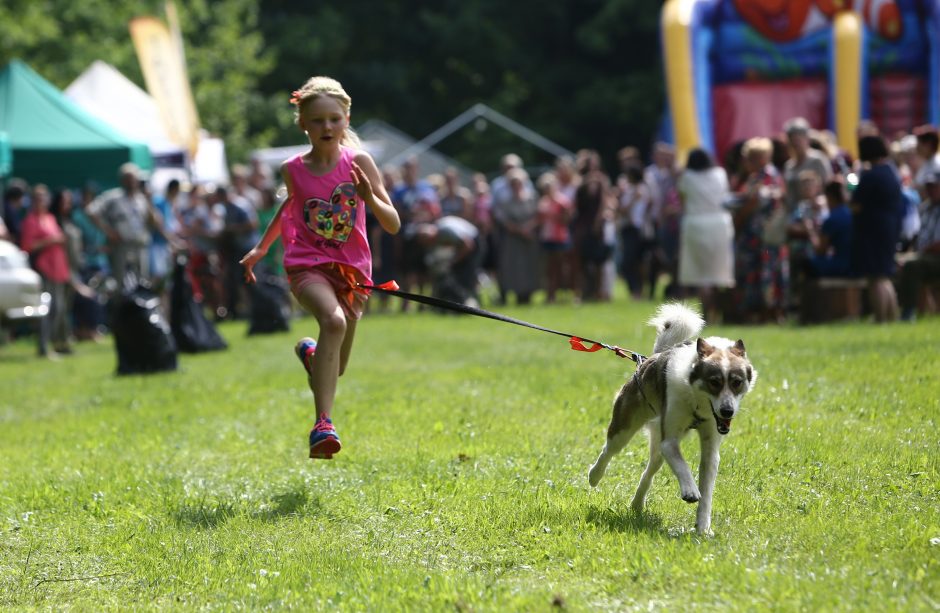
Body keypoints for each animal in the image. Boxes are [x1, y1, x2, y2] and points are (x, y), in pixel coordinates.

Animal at [588, 304, 756, 532]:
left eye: (737, 382)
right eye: (714, 382)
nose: (727, 411)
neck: (697, 402)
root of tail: (651, 358)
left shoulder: (710, 447)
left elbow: (707, 489)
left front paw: (703, 528)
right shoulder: (669, 440)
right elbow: (682, 465)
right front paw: (690, 490)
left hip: (657, 444)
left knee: (649, 471)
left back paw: (637, 504)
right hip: (625, 426)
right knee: (609, 450)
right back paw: (594, 476)